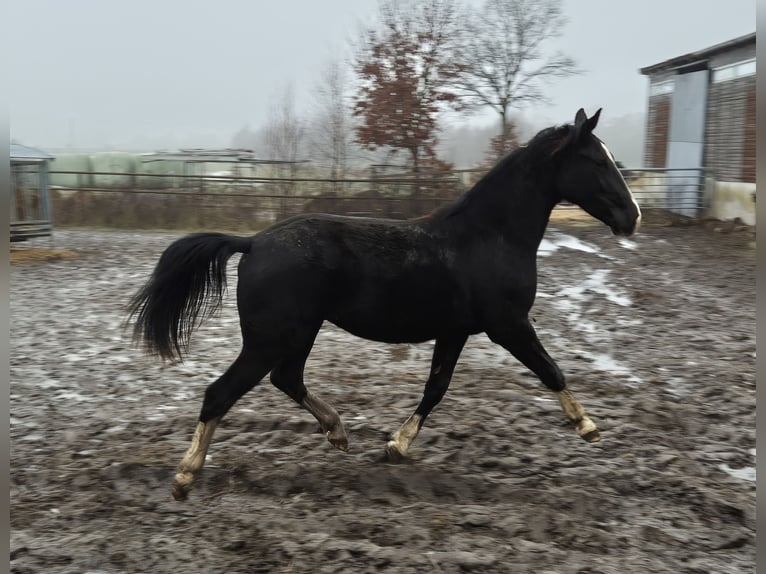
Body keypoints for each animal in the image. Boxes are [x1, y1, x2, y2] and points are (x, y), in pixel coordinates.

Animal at [128, 108, 641, 501]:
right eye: (596, 160)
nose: (632, 217)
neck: (487, 238)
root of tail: (253, 242)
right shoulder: (508, 325)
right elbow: (550, 370)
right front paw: (588, 426)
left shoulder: (455, 331)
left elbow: (436, 389)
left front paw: (396, 446)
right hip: (270, 339)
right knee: (221, 393)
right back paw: (185, 477)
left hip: (298, 334)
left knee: (287, 379)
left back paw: (337, 432)